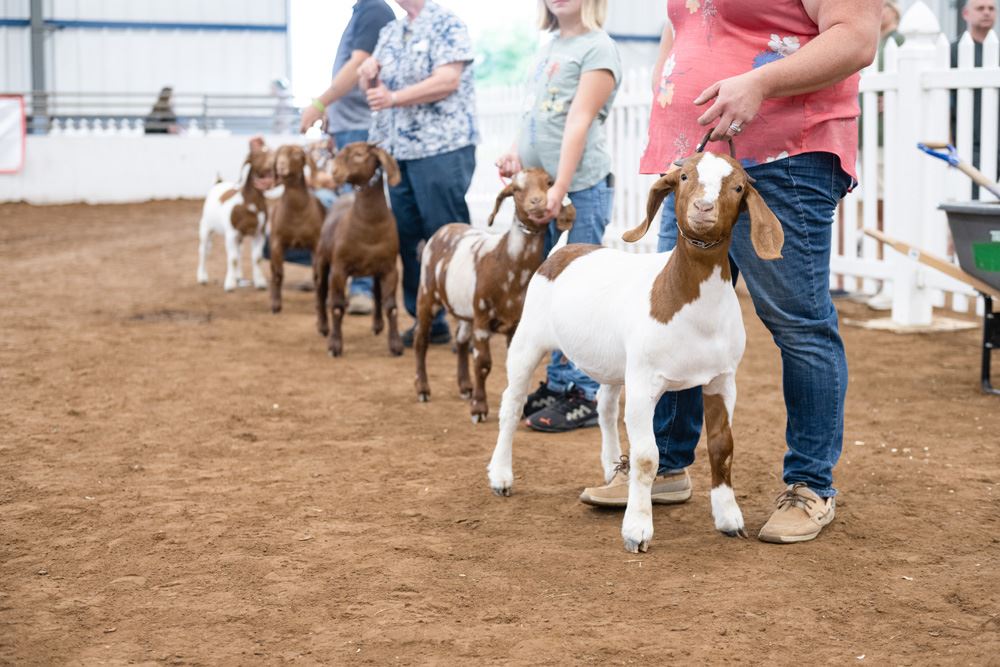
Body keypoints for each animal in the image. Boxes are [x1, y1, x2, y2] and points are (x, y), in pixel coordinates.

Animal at [268, 143, 326, 314]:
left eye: (296, 153)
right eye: (279, 154)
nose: (280, 166)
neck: (297, 212)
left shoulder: (316, 245)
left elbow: (317, 275)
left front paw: (319, 305)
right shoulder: (277, 243)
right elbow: (278, 273)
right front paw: (276, 305)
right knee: (274, 271)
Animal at [316, 143, 402, 358]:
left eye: (359, 154)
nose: (335, 172)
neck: (369, 224)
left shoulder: (390, 269)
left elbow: (391, 307)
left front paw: (396, 344)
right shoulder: (339, 269)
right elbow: (337, 306)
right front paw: (334, 345)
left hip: (376, 269)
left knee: (377, 293)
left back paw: (378, 325)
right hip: (322, 260)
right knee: (320, 291)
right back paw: (322, 327)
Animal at [414, 171, 576, 422]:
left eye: (549, 183)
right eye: (517, 188)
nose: (537, 202)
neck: (508, 265)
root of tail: (444, 229)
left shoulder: (514, 324)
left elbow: (511, 364)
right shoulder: (482, 319)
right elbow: (483, 363)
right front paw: (479, 408)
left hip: (464, 309)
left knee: (461, 340)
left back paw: (465, 386)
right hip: (427, 295)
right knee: (421, 340)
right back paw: (423, 389)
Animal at [488, 151, 784, 552]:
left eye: (738, 187)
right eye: (684, 177)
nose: (703, 208)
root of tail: (563, 249)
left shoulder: (722, 380)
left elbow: (723, 447)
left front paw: (729, 518)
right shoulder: (645, 381)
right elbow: (647, 457)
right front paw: (637, 529)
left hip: (613, 363)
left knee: (606, 408)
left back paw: (611, 468)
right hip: (528, 339)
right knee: (512, 404)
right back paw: (501, 476)